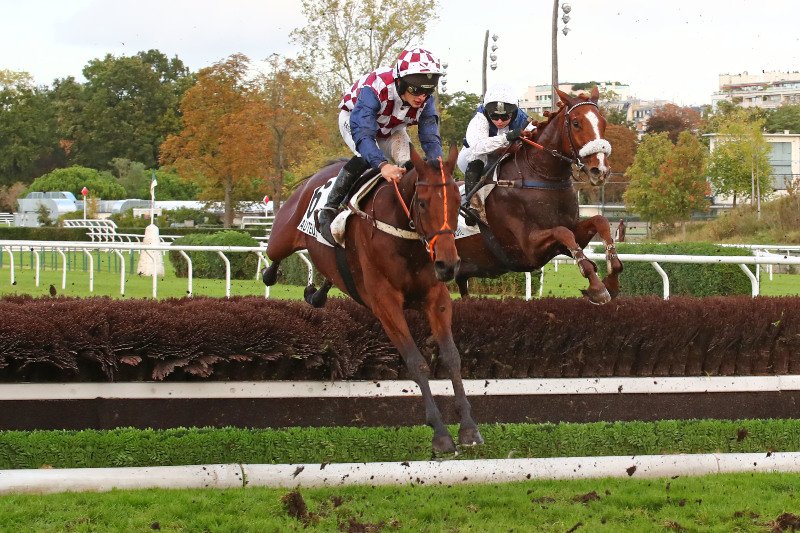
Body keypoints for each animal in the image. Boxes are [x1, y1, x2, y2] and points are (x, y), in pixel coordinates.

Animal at [262, 145, 483, 454]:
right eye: (422, 203)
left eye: (455, 200)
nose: (448, 265)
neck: (405, 237)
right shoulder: (386, 304)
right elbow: (416, 362)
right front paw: (440, 433)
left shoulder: (436, 298)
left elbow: (451, 357)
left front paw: (469, 428)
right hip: (281, 238)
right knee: (272, 257)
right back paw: (273, 273)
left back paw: (316, 293)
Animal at [455, 87, 623, 304]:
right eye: (576, 123)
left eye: (603, 123)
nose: (600, 170)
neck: (541, 176)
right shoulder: (527, 250)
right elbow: (563, 232)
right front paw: (597, 287)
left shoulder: (565, 239)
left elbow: (599, 221)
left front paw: (611, 280)